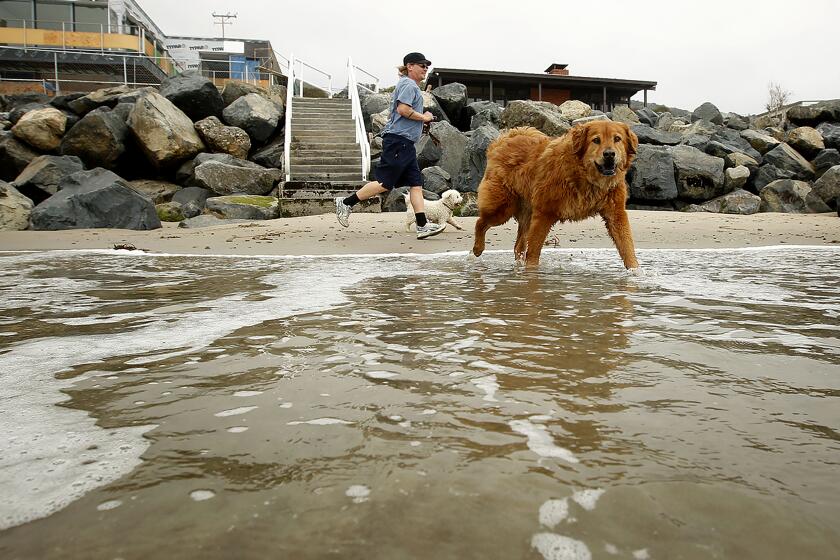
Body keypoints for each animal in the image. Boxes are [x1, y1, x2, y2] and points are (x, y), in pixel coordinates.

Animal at [470, 121, 640, 270]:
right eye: (596, 140)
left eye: (617, 139)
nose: (609, 154)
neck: (585, 177)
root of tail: (507, 138)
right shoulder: (544, 214)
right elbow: (533, 251)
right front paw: (532, 273)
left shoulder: (616, 214)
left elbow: (627, 246)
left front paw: (635, 272)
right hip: (502, 208)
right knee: (480, 223)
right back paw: (478, 248)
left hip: (526, 214)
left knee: (518, 245)